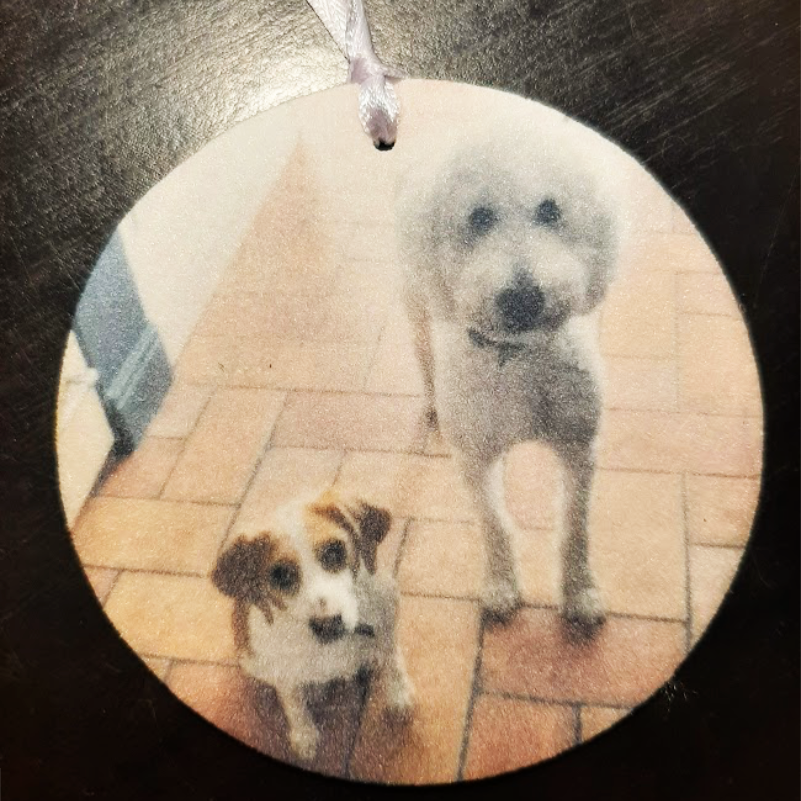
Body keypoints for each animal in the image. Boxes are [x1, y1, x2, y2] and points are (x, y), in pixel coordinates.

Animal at [211, 488, 413, 761]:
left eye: (335, 551)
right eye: (280, 574)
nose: (328, 624)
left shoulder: (386, 625)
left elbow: (393, 664)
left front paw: (399, 695)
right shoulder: (283, 673)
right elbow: (294, 705)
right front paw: (304, 736)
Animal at [396, 115, 624, 631]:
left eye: (550, 210)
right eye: (479, 217)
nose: (523, 298)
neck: (518, 357)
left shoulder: (579, 449)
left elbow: (575, 526)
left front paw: (580, 592)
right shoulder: (476, 460)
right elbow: (494, 523)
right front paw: (501, 586)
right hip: (416, 307)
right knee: (423, 360)